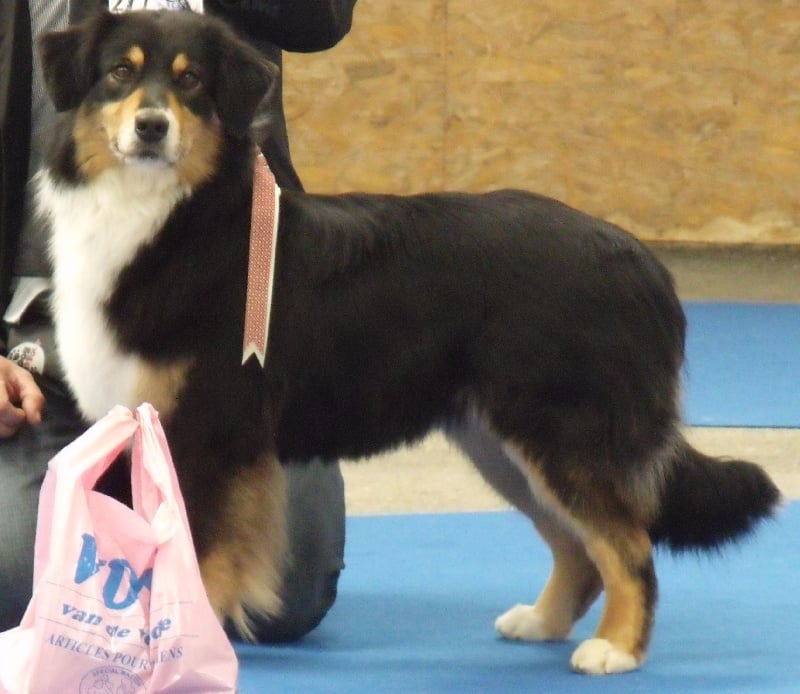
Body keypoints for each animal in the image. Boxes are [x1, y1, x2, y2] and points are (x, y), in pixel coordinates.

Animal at [36, 9, 780, 675]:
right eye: (118, 73)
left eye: (191, 81)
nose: (151, 126)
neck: (169, 215)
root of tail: (642, 260)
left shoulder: (212, 429)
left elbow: (199, 553)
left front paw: (181, 655)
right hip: (501, 444)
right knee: (579, 547)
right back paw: (542, 622)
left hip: (563, 433)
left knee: (628, 545)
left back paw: (615, 650)